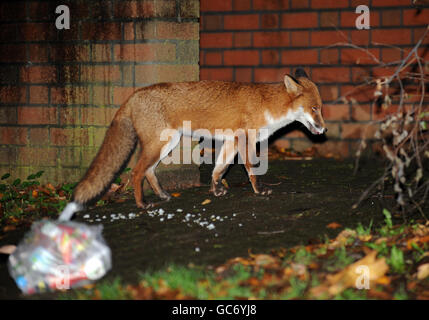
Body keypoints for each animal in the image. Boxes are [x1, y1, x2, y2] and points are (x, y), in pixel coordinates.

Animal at [56, 68, 324, 220]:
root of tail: (134, 95)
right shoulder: (246, 139)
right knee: (136, 173)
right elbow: (251, 170)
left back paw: (163, 195)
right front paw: (259, 191)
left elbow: (219, 169)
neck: (268, 105)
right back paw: (142, 204)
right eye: (314, 109)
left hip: (167, 143)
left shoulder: (231, 140)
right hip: (158, 145)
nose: (324, 130)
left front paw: (215, 190)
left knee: (149, 172)